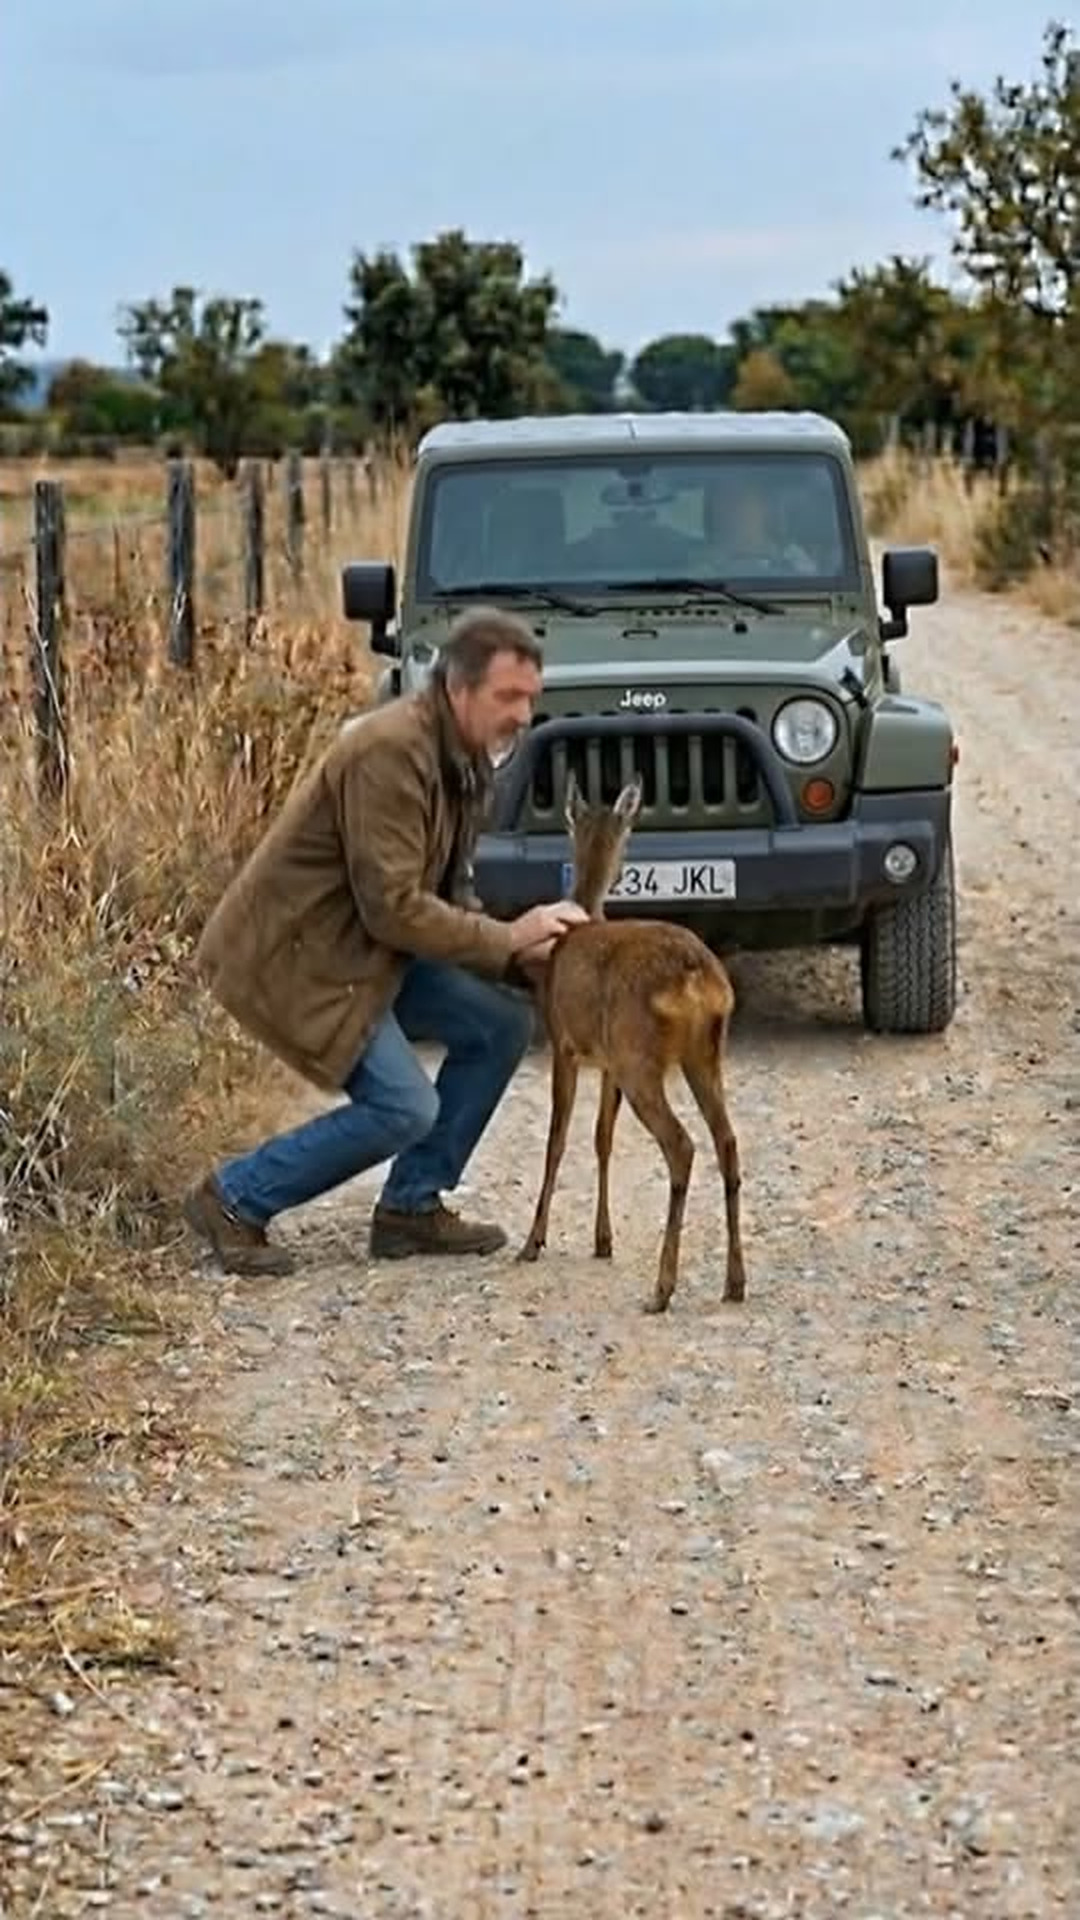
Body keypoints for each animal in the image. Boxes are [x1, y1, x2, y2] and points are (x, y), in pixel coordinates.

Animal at [517, 770, 747, 1314]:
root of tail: (696, 976)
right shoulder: (607, 1064)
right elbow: (602, 1136)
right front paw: (603, 1240)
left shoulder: (565, 1043)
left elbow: (557, 1140)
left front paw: (533, 1241)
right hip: (702, 1053)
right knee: (727, 1141)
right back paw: (734, 1282)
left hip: (639, 1054)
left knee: (682, 1145)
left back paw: (662, 1288)